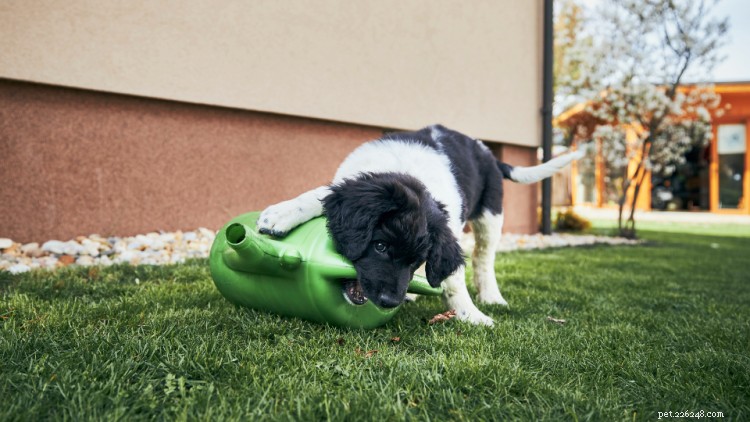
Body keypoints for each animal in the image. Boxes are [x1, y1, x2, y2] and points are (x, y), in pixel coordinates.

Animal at [262, 123, 584, 324]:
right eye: (380, 246)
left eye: (417, 260)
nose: (389, 301)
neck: (406, 173)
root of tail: (485, 150)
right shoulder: (353, 182)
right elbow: (318, 194)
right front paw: (280, 214)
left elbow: (453, 277)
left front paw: (469, 313)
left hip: (491, 213)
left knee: (483, 257)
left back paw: (490, 296)